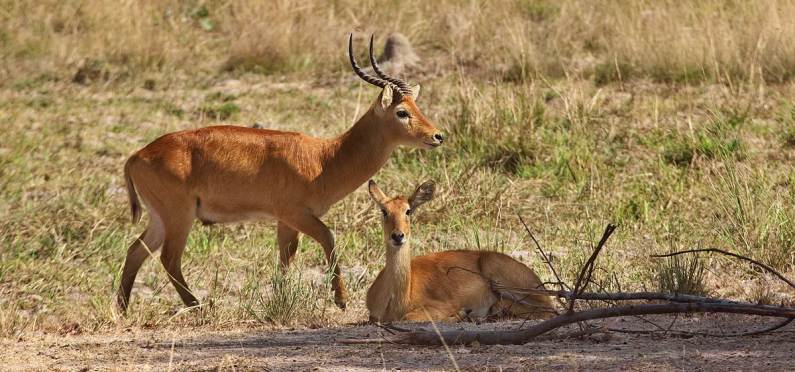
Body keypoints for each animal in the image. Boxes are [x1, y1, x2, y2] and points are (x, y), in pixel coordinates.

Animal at [118, 35, 444, 312]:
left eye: (416, 106)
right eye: (401, 112)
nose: (438, 136)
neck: (325, 159)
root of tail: (137, 155)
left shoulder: (285, 222)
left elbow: (286, 258)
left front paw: (281, 299)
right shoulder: (295, 214)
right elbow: (329, 237)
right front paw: (340, 299)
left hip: (160, 219)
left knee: (135, 252)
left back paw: (122, 310)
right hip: (180, 217)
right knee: (168, 259)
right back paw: (198, 307)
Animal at [366, 181, 552, 322]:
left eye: (408, 210)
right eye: (384, 211)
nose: (398, 236)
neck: (398, 299)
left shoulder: (441, 306)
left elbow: (410, 317)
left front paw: (462, 313)